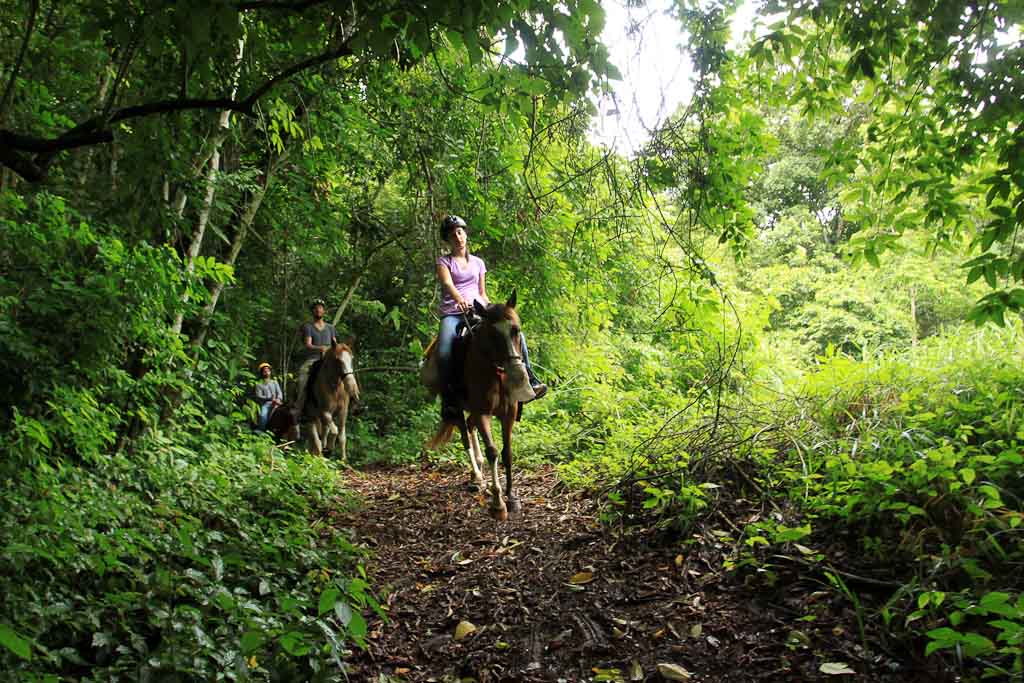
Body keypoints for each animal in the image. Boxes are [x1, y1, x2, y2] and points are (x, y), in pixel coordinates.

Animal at [425, 290, 536, 520]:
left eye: (516, 330)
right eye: (492, 335)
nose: (516, 376)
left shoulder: (508, 413)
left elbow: (507, 453)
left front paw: (512, 497)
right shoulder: (483, 412)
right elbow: (493, 451)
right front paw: (498, 503)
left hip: (472, 410)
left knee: (470, 426)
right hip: (458, 408)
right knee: (465, 436)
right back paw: (476, 476)